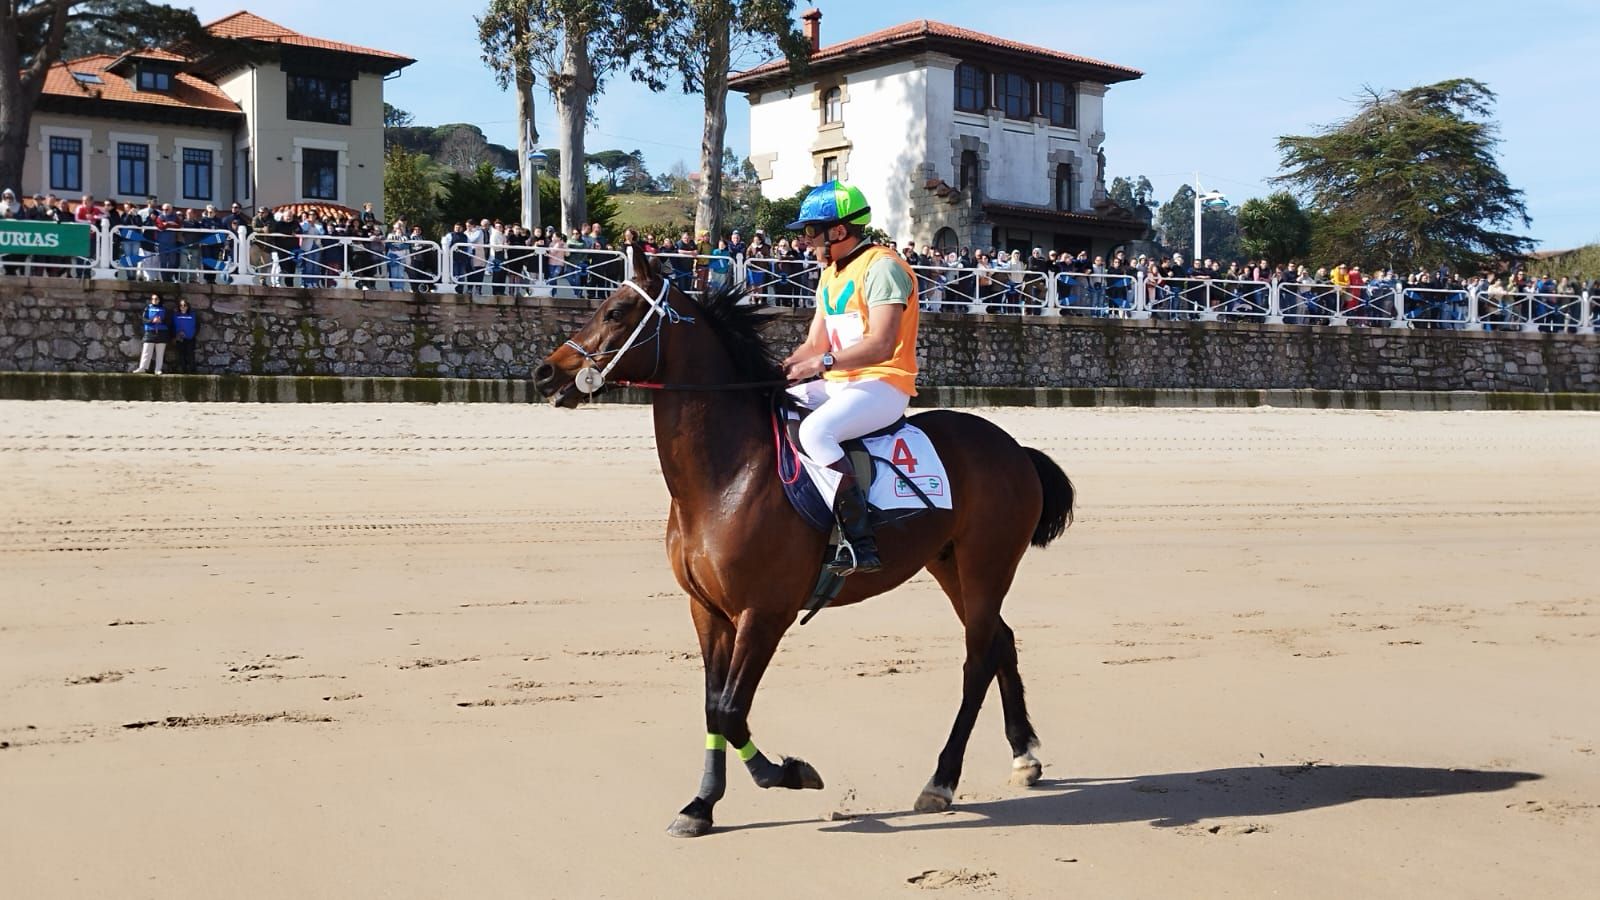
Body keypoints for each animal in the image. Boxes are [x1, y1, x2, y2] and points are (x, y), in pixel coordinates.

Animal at [533, 243, 1075, 837]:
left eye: (615, 312)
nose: (545, 372)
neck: (728, 475)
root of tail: (1015, 448)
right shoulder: (707, 612)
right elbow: (713, 706)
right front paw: (701, 804)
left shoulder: (764, 613)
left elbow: (731, 710)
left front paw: (787, 773)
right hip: (950, 565)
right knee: (1001, 639)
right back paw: (1024, 755)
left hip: (986, 565)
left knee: (978, 660)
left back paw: (941, 780)